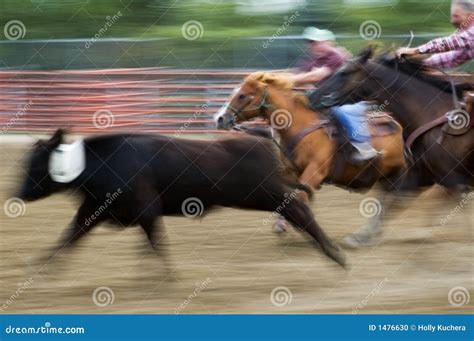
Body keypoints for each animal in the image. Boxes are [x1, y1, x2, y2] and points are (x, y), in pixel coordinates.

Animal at [217, 71, 406, 244]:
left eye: (242, 95)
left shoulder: (315, 171)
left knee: (390, 200)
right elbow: (292, 196)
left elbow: (300, 196)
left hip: (395, 173)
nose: (220, 119)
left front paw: (286, 225)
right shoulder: (293, 172)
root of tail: (395, 123)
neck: (300, 126)